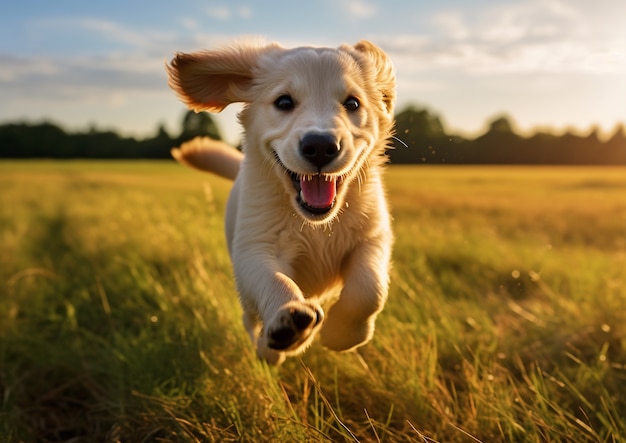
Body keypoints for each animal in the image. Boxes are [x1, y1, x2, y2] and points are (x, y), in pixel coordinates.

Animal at [166, 40, 394, 366]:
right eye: (284, 102)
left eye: (352, 104)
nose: (320, 146)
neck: (315, 223)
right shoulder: (254, 249)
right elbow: (275, 281)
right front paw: (288, 323)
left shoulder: (373, 237)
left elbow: (369, 288)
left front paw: (341, 333)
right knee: (250, 319)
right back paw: (268, 348)